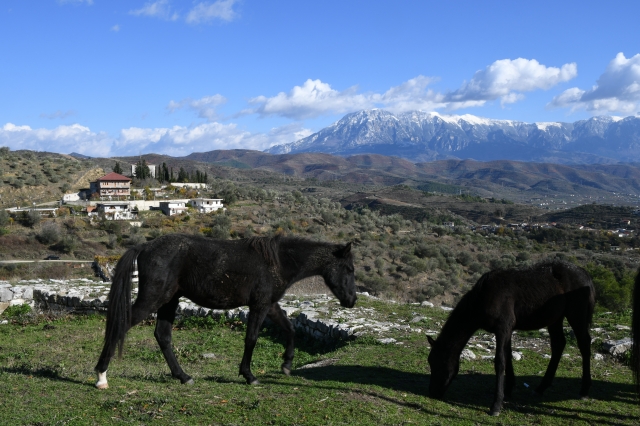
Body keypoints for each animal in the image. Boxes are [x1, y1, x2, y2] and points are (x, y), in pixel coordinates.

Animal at [94, 233, 358, 390]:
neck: (278, 261)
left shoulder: (270, 305)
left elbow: (290, 329)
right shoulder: (260, 305)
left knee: (163, 336)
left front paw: (286, 364)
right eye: (349, 269)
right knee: (121, 326)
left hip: (169, 301)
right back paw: (101, 376)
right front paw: (249, 375)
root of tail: (145, 246)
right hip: (154, 299)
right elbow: (251, 339)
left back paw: (183, 376)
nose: (352, 300)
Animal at [424, 260, 596, 416]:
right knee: (559, 344)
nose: (433, 392)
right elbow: (508, 356)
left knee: (584, 344)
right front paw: (508, 390)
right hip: (555, 319)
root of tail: (585, 273)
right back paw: (541, 388)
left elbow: (500, 362)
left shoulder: (503, 328)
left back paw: (584, 390)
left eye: (438, 363)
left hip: (576, 316)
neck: (484, 296)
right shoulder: (507, 331)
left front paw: (496, 404)